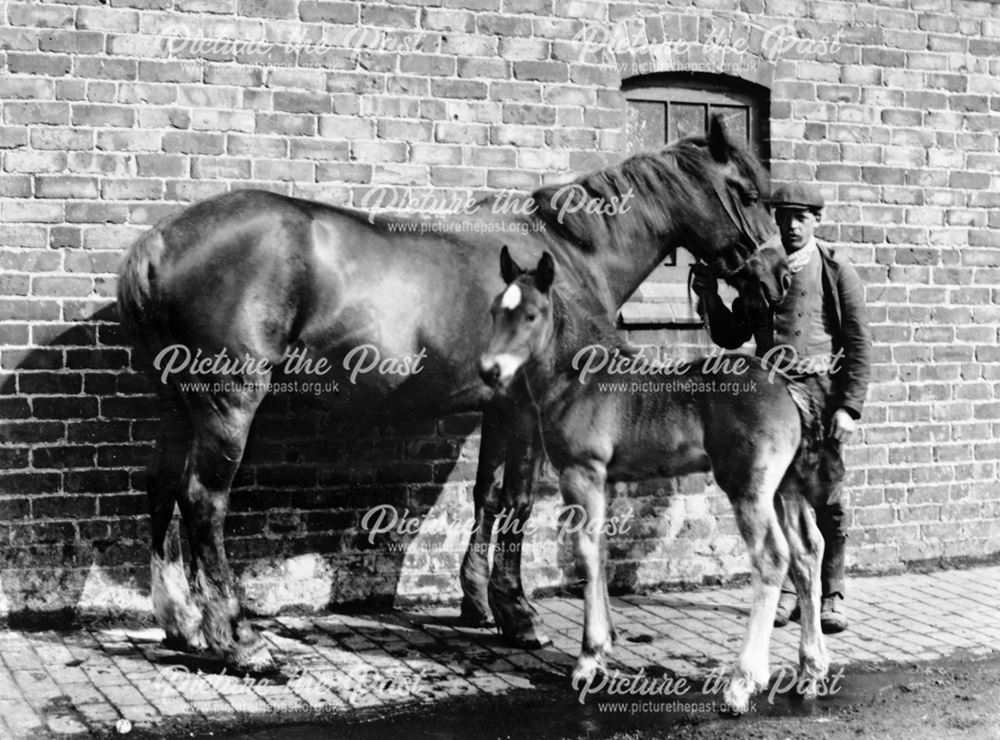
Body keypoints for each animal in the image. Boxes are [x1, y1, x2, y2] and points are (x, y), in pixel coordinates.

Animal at [119, 114, 788, 672]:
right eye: (749, 194)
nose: (778, 278)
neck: (568, 254)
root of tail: (159, 244)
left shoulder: (498, 408)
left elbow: (486, 496)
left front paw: (478, 603)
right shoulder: (527, 411)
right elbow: (517, 502)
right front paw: (518, 615)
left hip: (176, 403)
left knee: (161, 486)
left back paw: (181, 624)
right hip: (228, 401)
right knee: (203, 503)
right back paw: (238, 640)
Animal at [476, 247, 828, 712]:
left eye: (532, 315)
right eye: (495, 311)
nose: (489, 370)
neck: (579, 380)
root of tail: (785, 384)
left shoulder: (581, 473)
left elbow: (585, 555)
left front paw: (589, 658)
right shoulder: (602, 481)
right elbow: (601, 552)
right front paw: (606, 643)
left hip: (749, 487)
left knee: (773, 558)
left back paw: (743, 683)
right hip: (785, 488)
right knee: (807, 554)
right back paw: (811, 670)